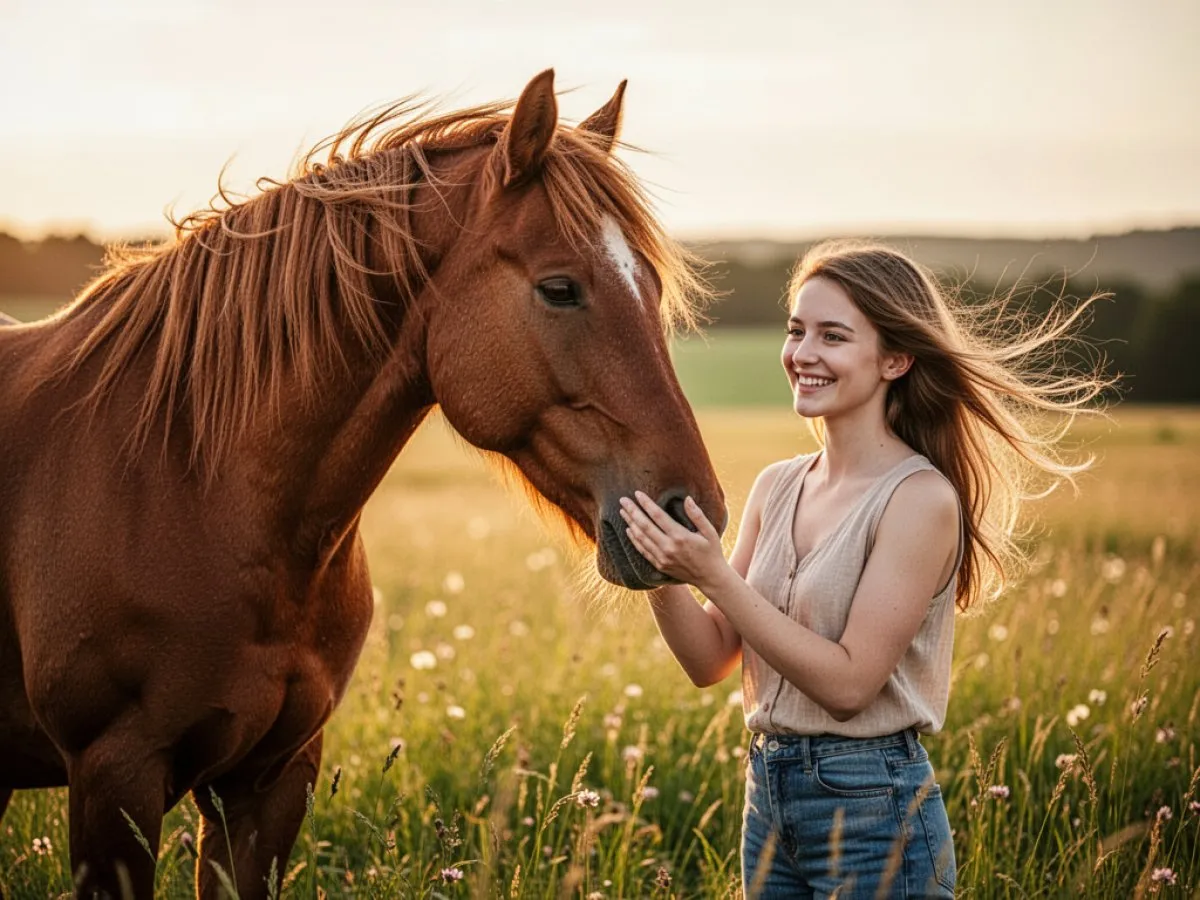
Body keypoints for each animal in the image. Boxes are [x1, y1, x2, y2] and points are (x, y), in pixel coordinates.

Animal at [0, 69, 726, 899]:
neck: (187, 488)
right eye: (560, 288)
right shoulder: (114, 776)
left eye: (651, 286)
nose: (695, 514)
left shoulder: (272, 779)